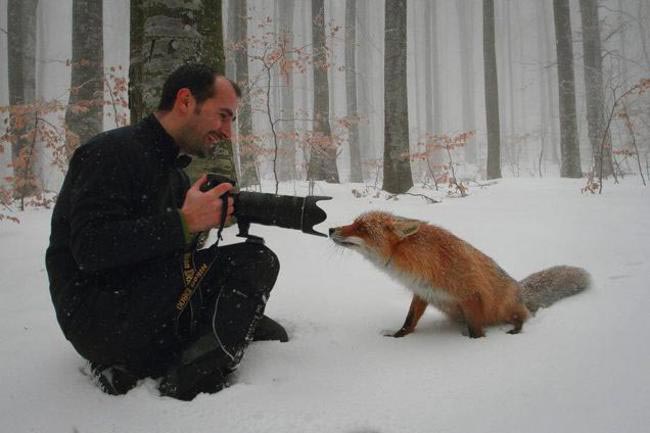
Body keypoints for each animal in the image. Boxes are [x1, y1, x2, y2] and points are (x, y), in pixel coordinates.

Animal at [329, 211, 590, 338]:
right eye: (353, 222)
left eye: (361, 228)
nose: (331, 229)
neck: (423, 261)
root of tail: (520, 288)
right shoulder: (422, 292)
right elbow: (409, 321)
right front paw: (397, 337)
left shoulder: (471, 295)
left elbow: (476, 330)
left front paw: (475, 345)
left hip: (507, 308)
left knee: (523, 317)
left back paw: (516, 330)